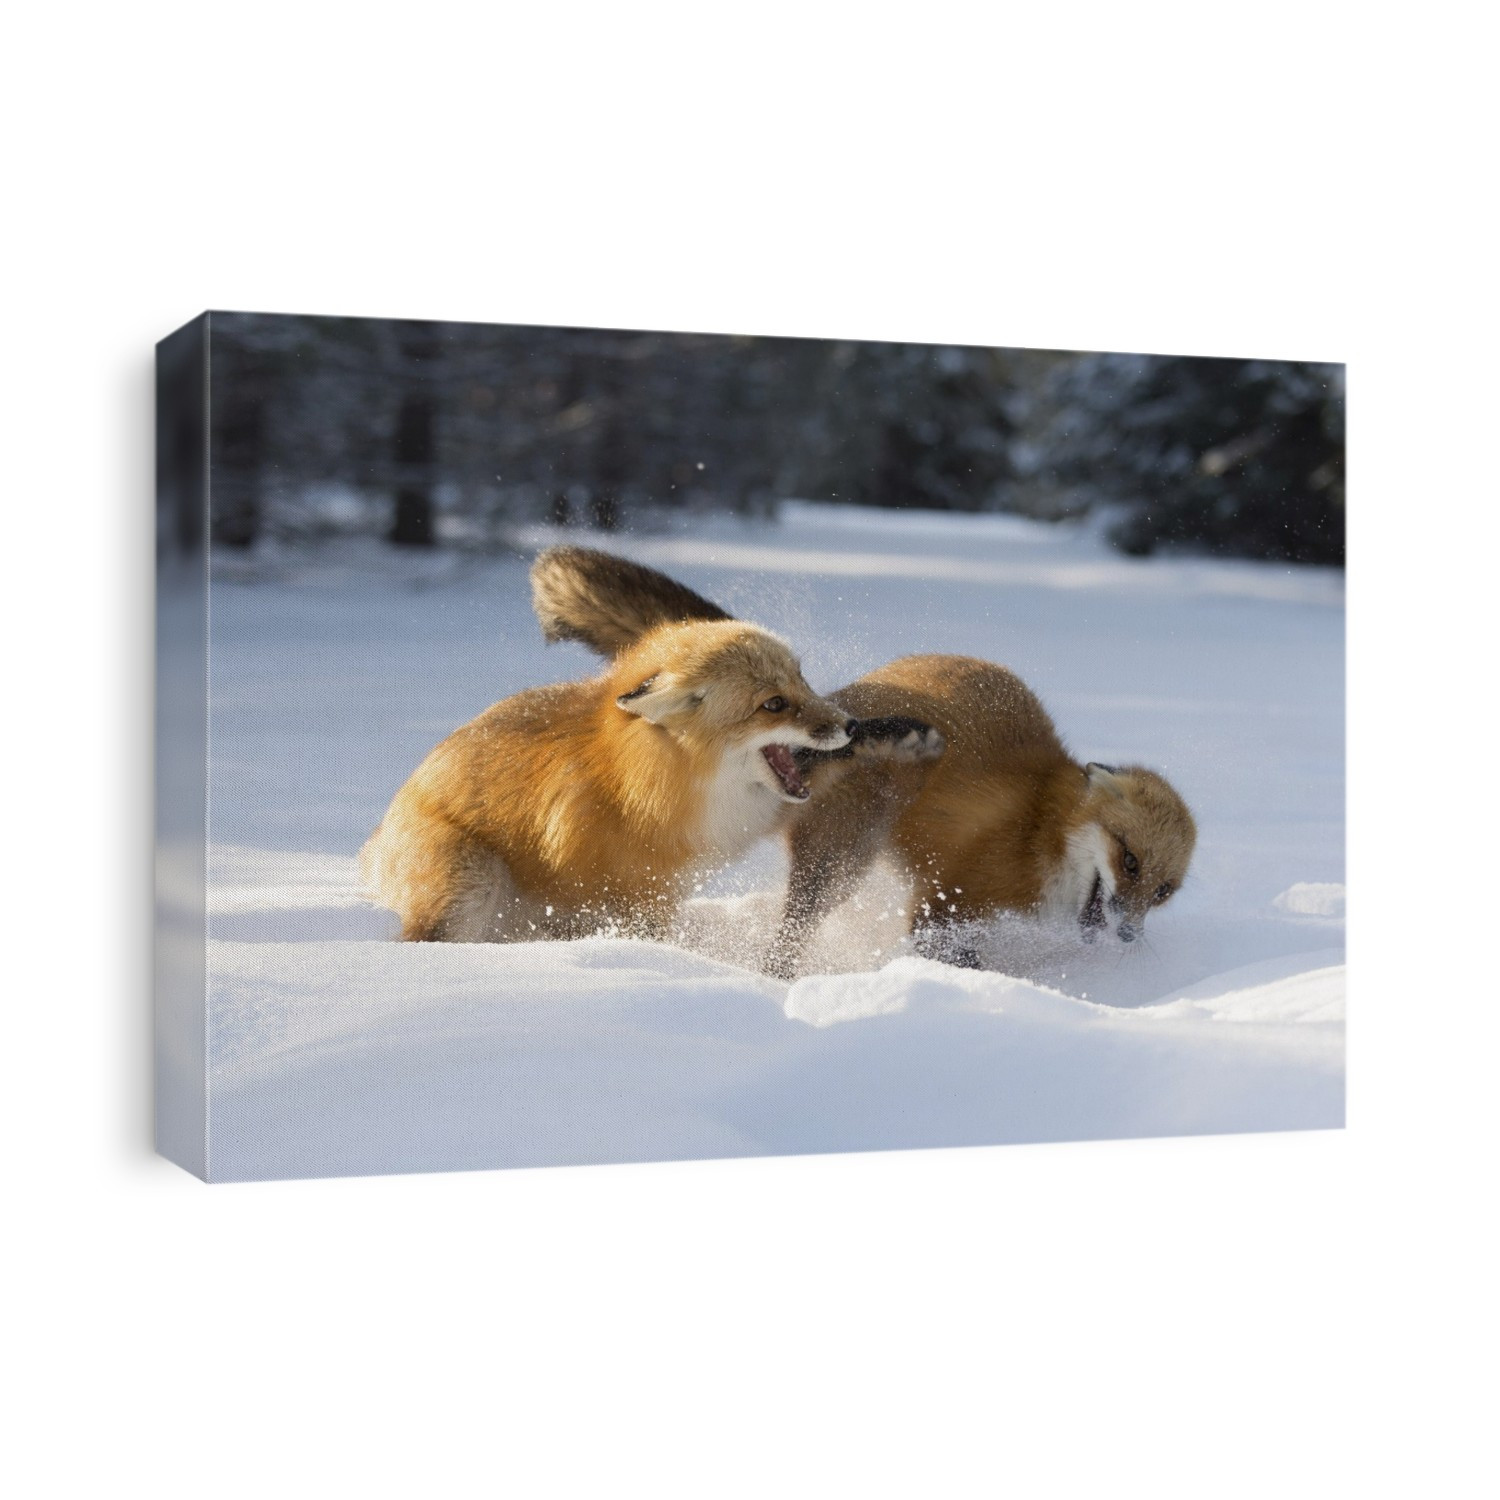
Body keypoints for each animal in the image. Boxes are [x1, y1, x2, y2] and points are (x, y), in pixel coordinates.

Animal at [361, 554, 942, 943]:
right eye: (773, 705)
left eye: (802, 682)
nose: (847, 723)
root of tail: (371, 846)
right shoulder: (644, 895)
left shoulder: (745, 816)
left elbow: (826, 762)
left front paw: (897, 735)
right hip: (470, 889)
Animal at [529, 547, 1197, 977]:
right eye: (1130, 861)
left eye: (1164, 890)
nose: (1128, 933)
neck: (1038, 823)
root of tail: (834, 703)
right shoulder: (945, 899)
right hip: (842, 862)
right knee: (788, 939)